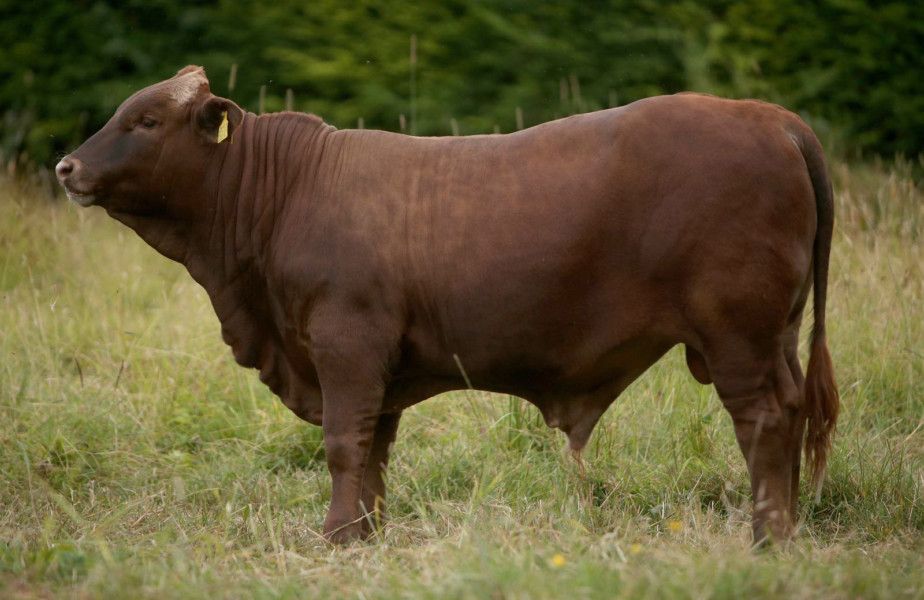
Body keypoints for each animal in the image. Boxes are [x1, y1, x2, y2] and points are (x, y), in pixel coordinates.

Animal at [56, 66, 839, 545]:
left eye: (146, 120)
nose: (67, 166)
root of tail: (768, 117)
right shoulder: (378, 367)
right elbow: (373, 450)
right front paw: (364, 535)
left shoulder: (345, 343)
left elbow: (342, 445)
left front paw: (333, 537)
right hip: (776, 332)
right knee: (792, 410)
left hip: (738, 333)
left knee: (765, 419)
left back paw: (767, 536)